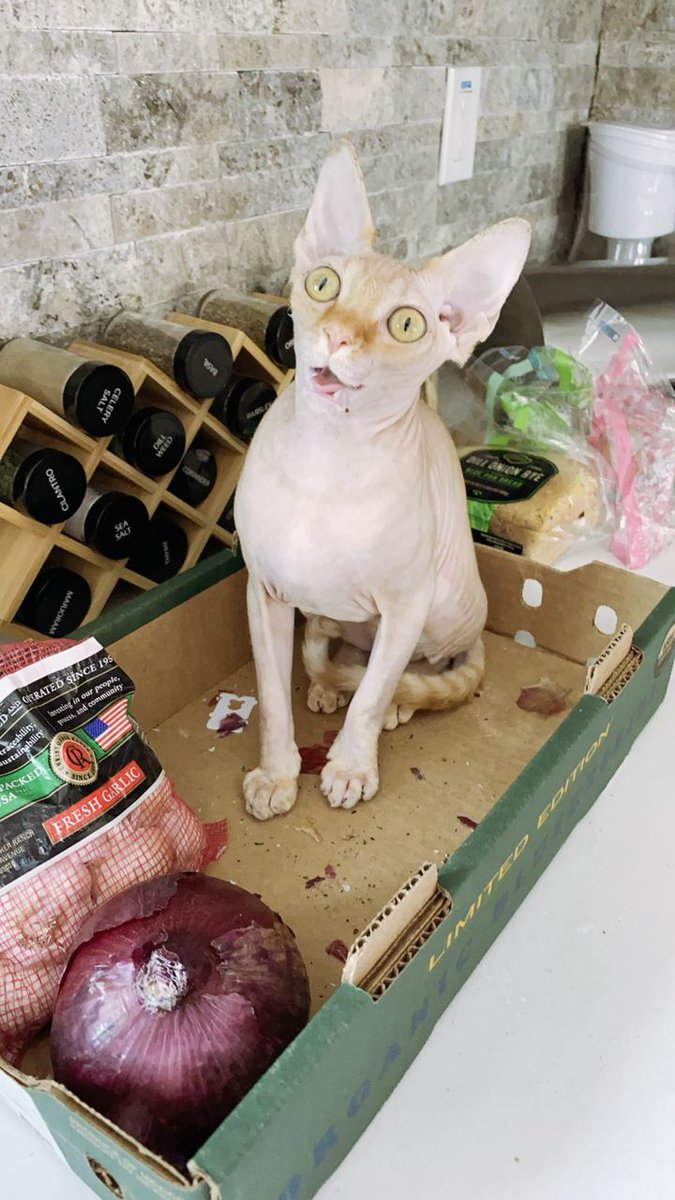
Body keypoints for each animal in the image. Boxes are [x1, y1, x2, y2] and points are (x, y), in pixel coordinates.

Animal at [234, 140, 531, 820]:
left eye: (406, 325)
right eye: (323, 284)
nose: (337, 335)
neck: (325, 459)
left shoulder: (406, 603)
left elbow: (372, 695)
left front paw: (349, 766)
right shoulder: (263, 593)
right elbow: (271, 695)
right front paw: (278, 774)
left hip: (443, 603)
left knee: (414, 667)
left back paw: (396, 701)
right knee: (347, 652)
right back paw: (327, 684)